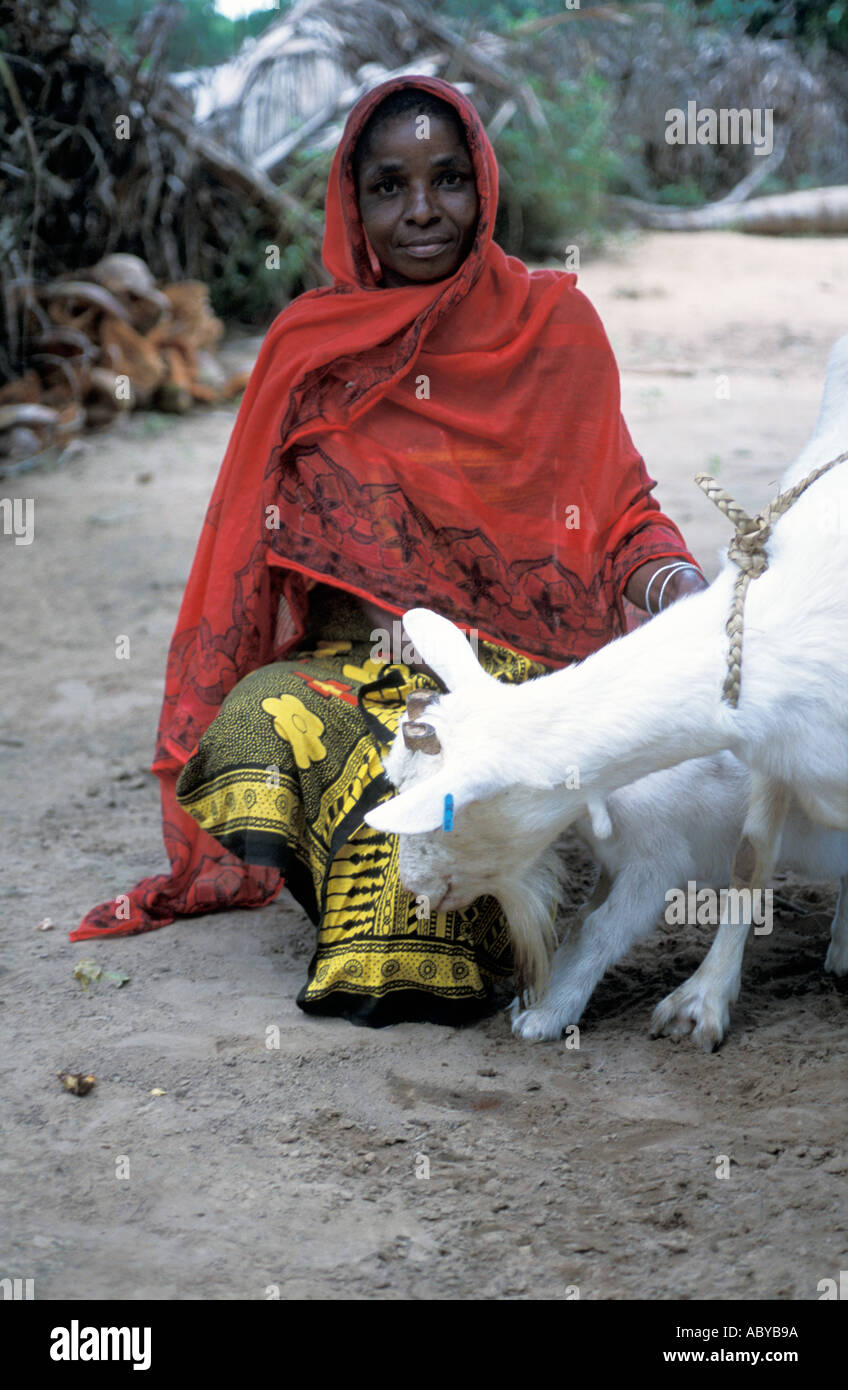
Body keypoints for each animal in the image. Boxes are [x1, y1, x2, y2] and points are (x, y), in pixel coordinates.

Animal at [364, 330, 845, 1045]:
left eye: (445, 812)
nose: (416, 894)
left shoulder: (658, 859)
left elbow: (604, 927)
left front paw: (552, 1016)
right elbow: (746, 860)